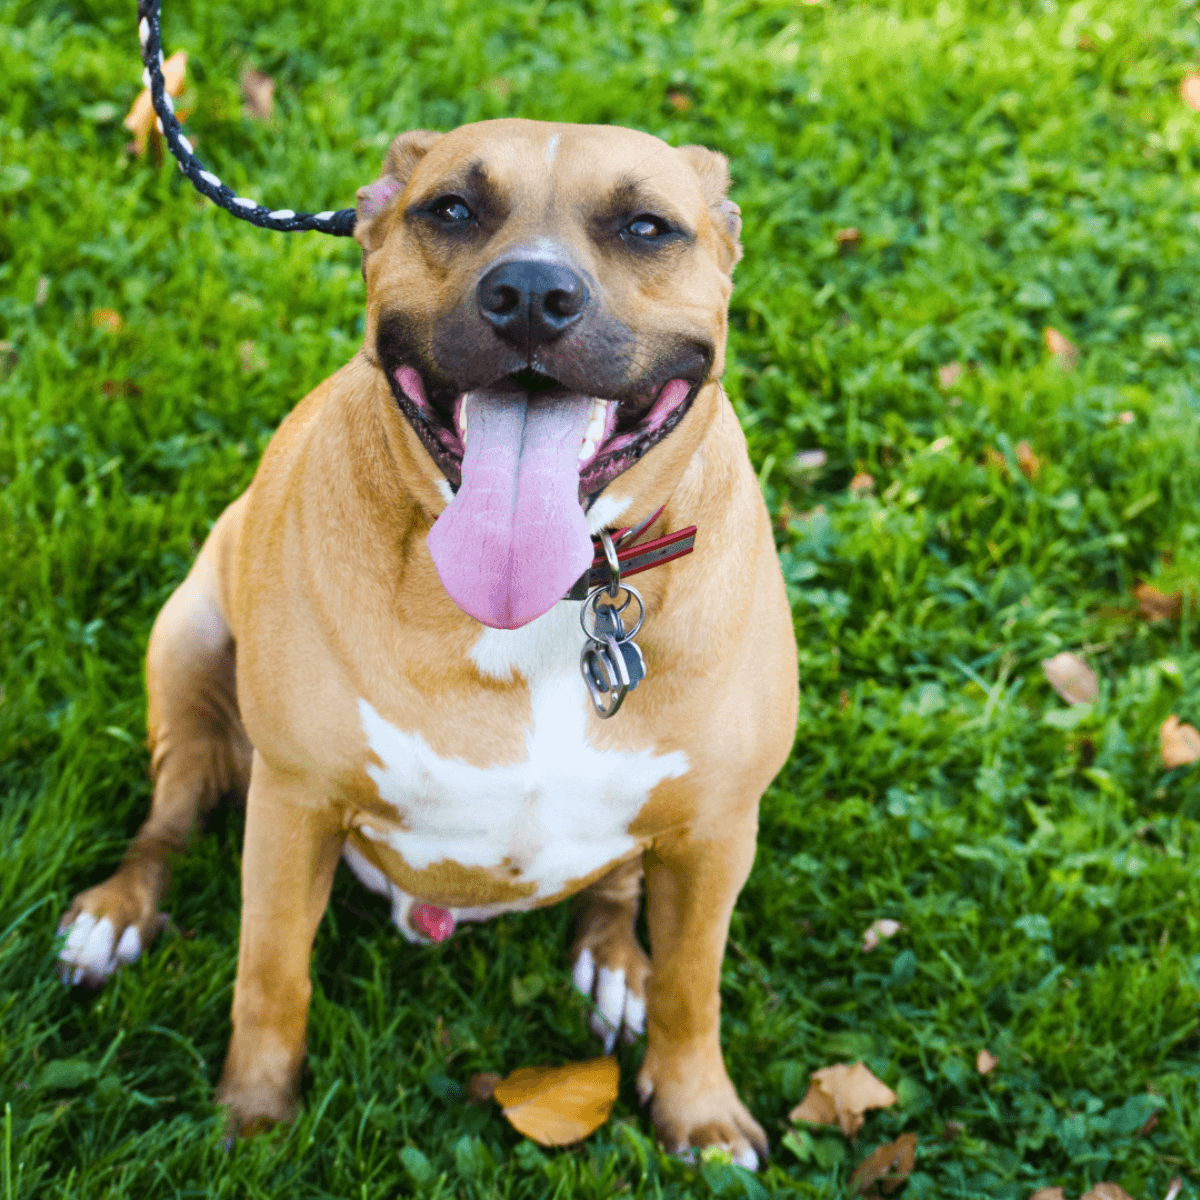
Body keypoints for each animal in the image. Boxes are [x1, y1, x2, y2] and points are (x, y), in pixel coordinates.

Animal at [60, 117, 801, 1166]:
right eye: (451, 208)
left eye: (647, 227)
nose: (530, 294)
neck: (556, 599)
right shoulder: (295, 801)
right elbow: (271, 971)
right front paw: (252, 1116)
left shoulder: (719, 828)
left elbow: (694, 989)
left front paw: (698, 1111)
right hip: (190, 640)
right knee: (172, 811)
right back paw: (113, 916)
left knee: (620, 893)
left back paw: (618, 964)